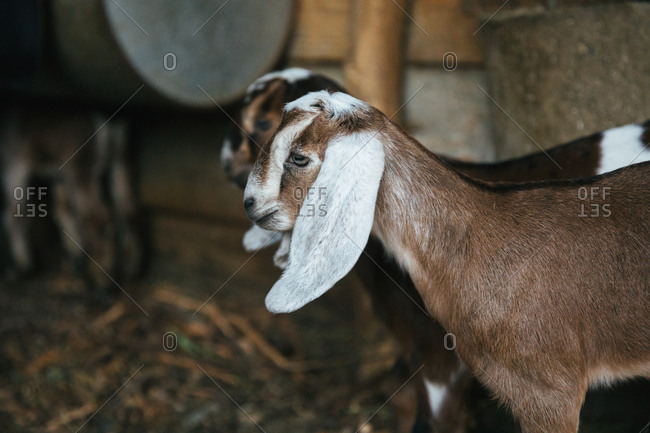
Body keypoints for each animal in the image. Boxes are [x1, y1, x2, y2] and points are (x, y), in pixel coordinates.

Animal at [1, 106, 142, 291]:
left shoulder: (15, 164)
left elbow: (14, 214)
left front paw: (20, 269)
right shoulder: (59, 175)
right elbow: (62, 209)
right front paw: (75, 264)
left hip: (81, 169)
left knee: (97, 216)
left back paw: (102, 281)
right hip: (121, 158)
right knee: (128, 209)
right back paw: (130, 272)